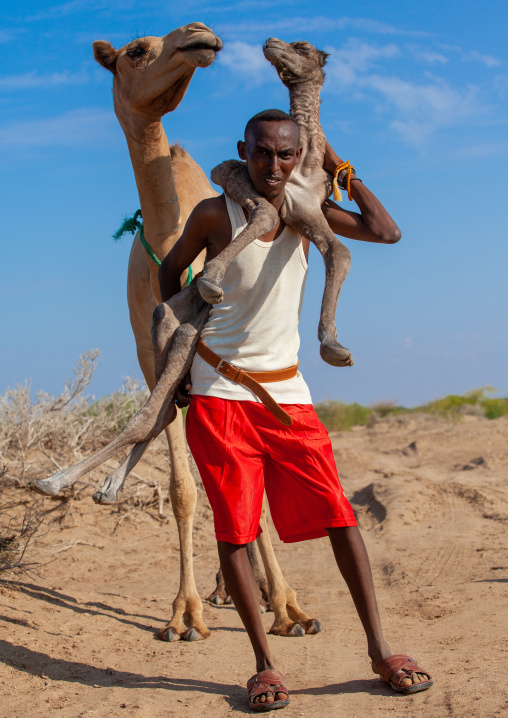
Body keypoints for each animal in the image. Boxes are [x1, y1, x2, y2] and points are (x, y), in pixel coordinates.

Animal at [28, 24, 320, 640]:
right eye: (136, 51)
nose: (199, 35)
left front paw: (287, 606)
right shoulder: (149, 354)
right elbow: (185, 487)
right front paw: (183, 614)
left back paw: (260, 591)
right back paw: (221, 587)